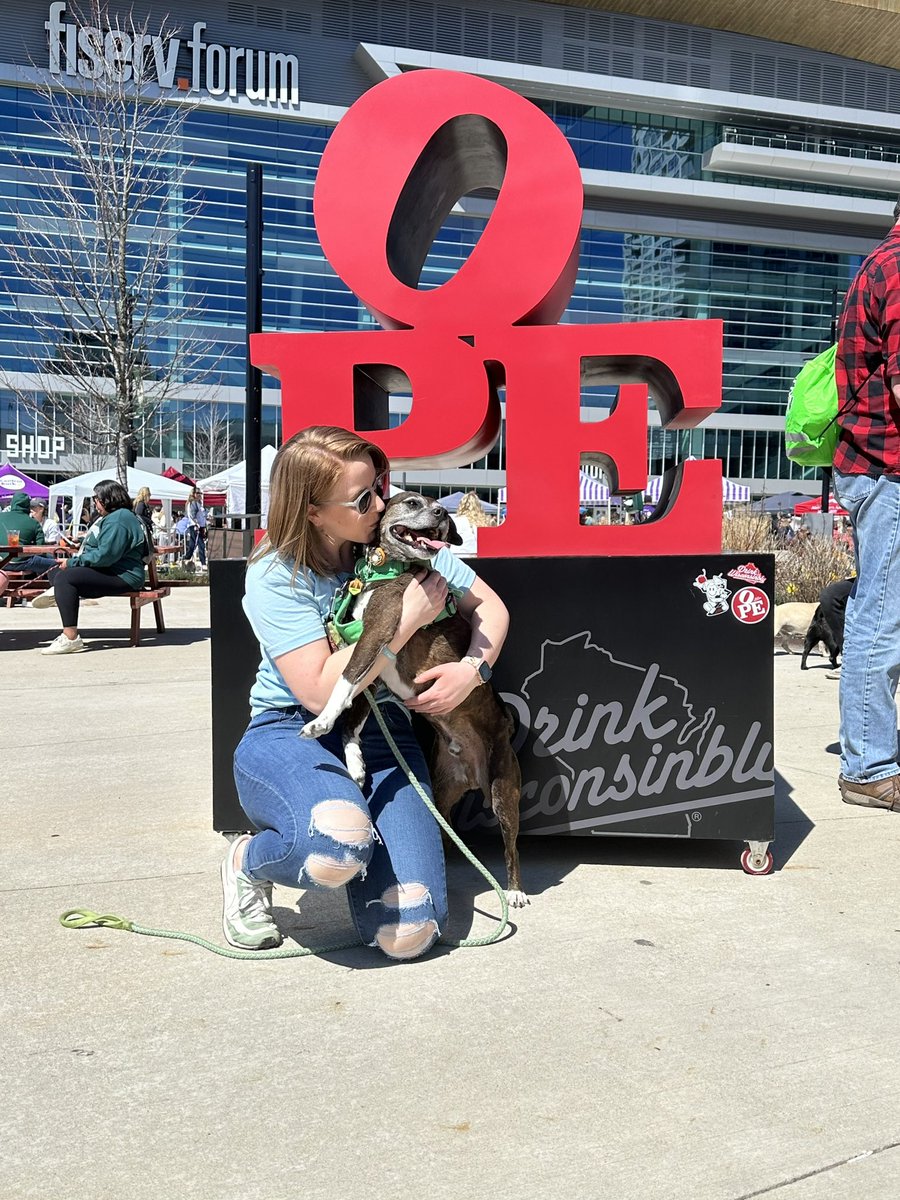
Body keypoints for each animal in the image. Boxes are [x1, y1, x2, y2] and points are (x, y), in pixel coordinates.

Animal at [303, 492, 528, 902]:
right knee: (448, 831)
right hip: (442, 791)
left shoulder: (376, 632)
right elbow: (352, 718)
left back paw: (515, 890)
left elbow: (343, 680)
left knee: (511, 846)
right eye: (411, 503)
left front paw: (321, 720)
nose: (440, 512)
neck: (385, 571)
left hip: (505, 791)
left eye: (436, 505)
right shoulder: (376, 671)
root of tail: (474, 776)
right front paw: (355, 763)